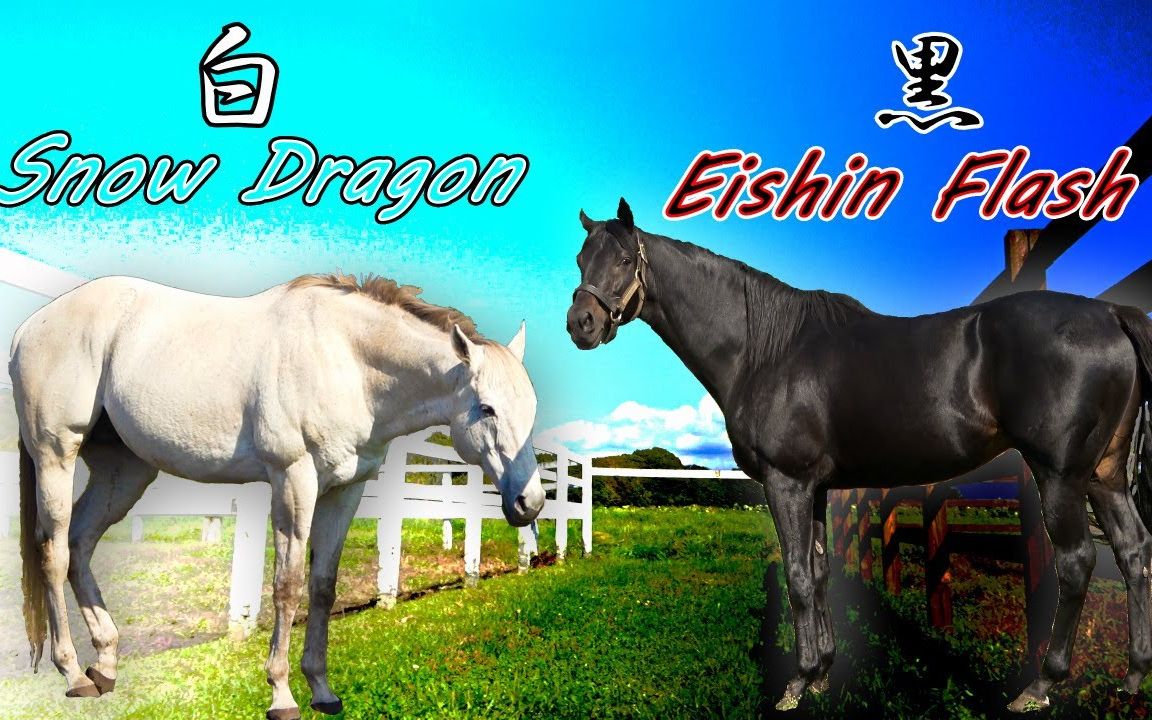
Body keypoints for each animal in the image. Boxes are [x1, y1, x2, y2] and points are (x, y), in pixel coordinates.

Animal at [12, 272, 545, 720]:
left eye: (531, 407)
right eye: (487, 408)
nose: (531, 503)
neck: (345, 360)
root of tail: (27, 329)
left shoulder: (345, 490)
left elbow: (323, 586)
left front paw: (323, 691)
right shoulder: (294, 481)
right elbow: (286, 586)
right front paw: (282, 694)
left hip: (123, 473)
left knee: (80, 543)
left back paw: (105, 665)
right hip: (56, 456)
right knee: (54, 552)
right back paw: (73, 672)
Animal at [565, 198, 1152, 714]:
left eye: (624, 260)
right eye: (580, 259)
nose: (581, 324)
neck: (766, 351)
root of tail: (1111, 313)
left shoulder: (786, 483)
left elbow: (798, 577)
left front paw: (797, 683)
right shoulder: (815, 488)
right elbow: (820, 571)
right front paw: (824, 672)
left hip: (1060, 475)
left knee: (1077, 563)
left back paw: (1040, 686)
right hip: (1103, 475)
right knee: (1133, 551)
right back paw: (1134, 675)